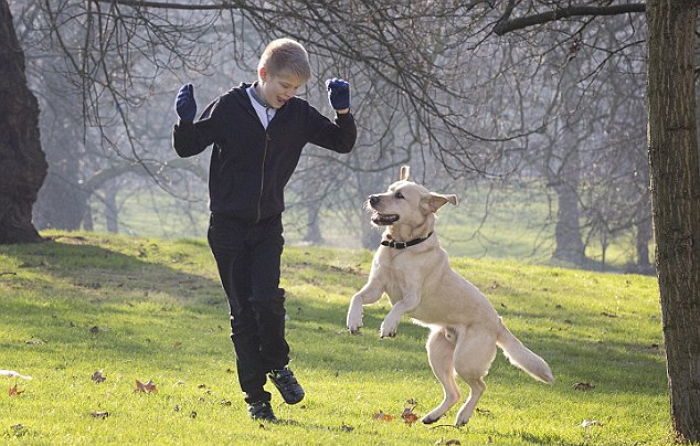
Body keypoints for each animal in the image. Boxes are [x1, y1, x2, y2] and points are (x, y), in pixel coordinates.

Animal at [346, 166, 552, 426]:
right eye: (388, 189)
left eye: (400, 196)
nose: (373, 198)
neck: (401, 247)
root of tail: (497, 322)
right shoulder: (375, 287)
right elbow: (357, 297)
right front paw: (354, 321)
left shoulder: (412, 296)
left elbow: (398, 306)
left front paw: (388, 325)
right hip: (437, 352)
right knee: (454, 392)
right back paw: (433, 416)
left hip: (464, 359)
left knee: (479, 386)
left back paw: (463, 416)